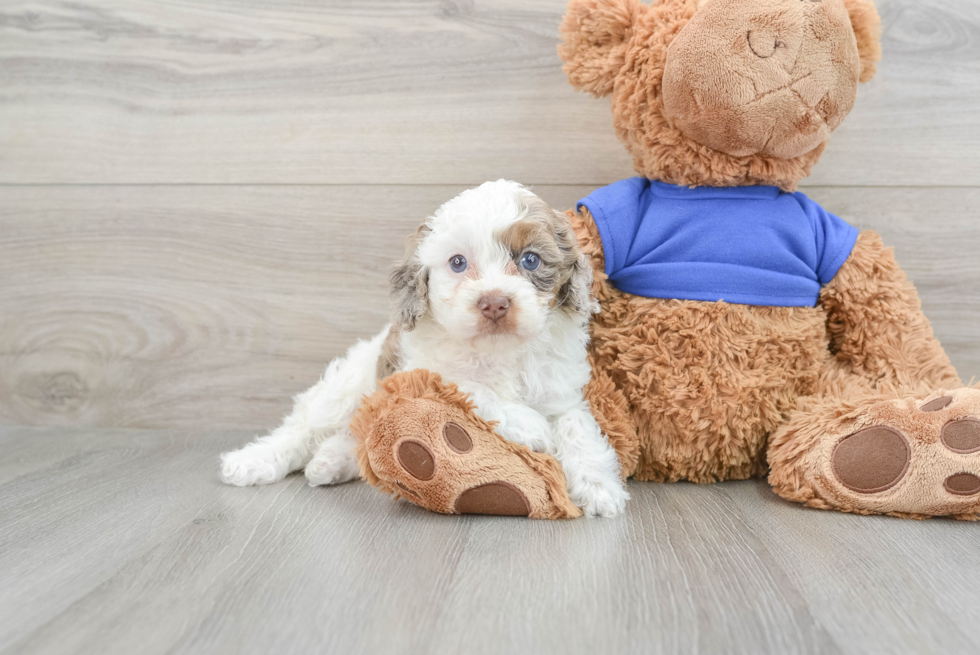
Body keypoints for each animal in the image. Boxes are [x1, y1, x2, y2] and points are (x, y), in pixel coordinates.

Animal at [218, 179, 628, 516]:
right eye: (458, 263)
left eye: (530, 259)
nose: (495, 303)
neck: (498, 350)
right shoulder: (415, 374)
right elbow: (469, 387)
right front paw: (533, 427)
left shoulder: (562, 393)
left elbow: (576, 426)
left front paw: (599, 486)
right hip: (346, 386)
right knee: (303, 427)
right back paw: (253, 460)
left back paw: (329, 462)